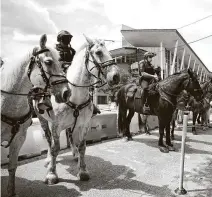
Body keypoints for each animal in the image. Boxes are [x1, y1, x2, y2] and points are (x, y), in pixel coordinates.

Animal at [35, 35, 120, 185]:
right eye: (98, 52)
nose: (116, 76)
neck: (74, 95)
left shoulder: (84, 125)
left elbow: (82, 147)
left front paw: (83, 170)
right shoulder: (55, 126)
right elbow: (55, 148)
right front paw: (51, 174)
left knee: (69, 134)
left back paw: (74, 154)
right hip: (42, 120)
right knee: (48, 139)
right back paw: (48, 158)